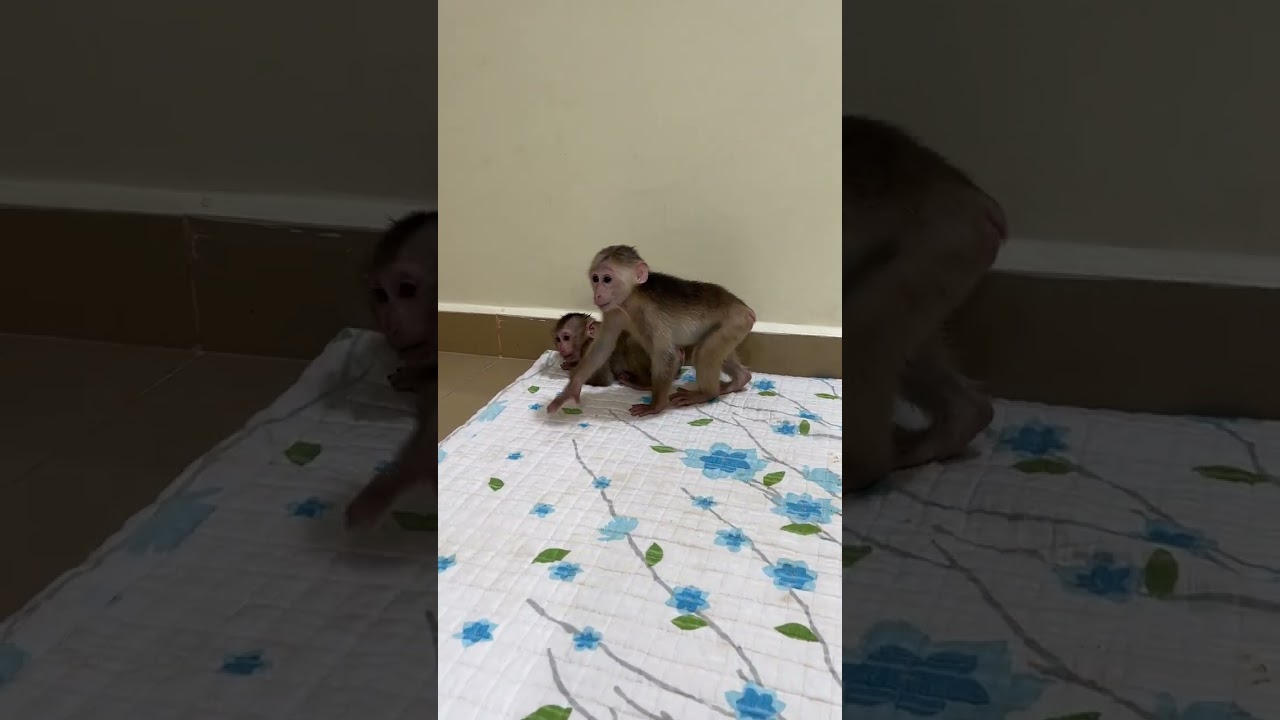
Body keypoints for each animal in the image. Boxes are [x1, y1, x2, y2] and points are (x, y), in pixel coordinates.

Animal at [547, 247, 755, 417]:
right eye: (595, 279)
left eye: (607, 279)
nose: (597, 294)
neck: (632, 299)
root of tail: (746, 309)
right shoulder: (613, 311)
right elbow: (602, 346)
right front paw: (570, 389)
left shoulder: (652, 313)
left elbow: (668, 354)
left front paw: (656, 406)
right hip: (734, 328)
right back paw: (740, 379)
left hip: (734, 322)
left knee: (703, 352)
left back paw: (705, 393)